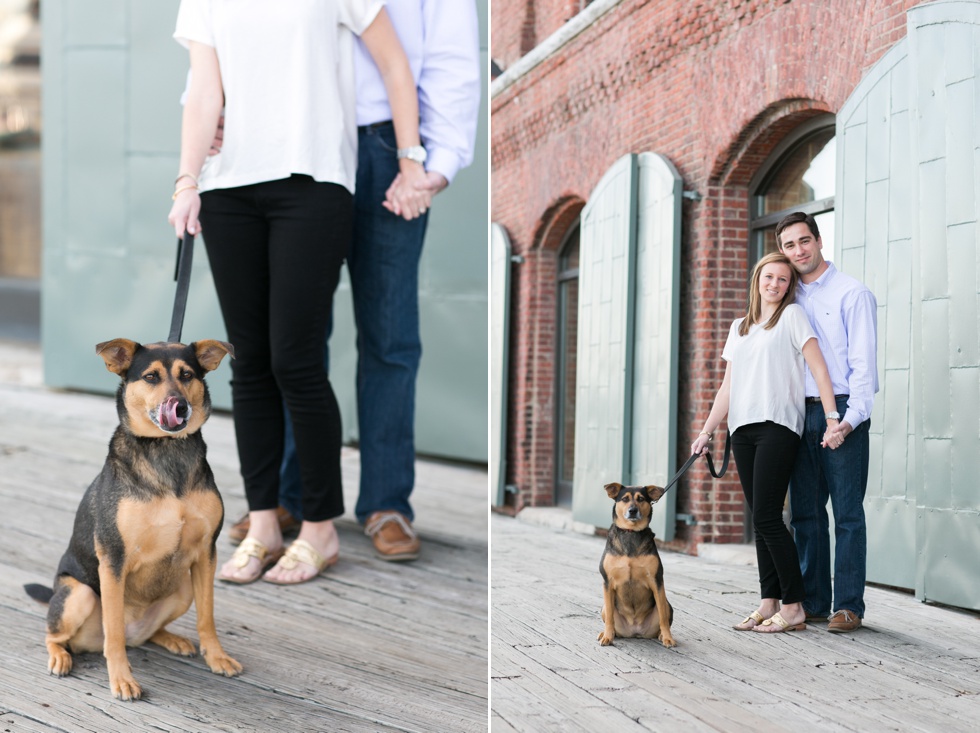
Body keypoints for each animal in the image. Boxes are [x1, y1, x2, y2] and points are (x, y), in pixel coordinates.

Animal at [24, 338, 239, 696]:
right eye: (151, 377)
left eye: (188, 375)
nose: (180, 406)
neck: (167, 450)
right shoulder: (113, 558)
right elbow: (113, 632)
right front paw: (122, 678)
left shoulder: (207, 552)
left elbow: (207, 616)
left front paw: (217, 657)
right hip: (79, 594)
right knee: (56, 635)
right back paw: (59, 657)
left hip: (183, 588)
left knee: (147, 635)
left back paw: (171, 638)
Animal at [596, 484, 672, 648]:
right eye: (625, 499)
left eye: (641, 499)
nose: (632, 510)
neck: (631, 531)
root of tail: (635, 631)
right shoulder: (607, 582)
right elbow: (610, 617)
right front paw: (607, 636)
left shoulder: (657, 581)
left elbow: (663, 616)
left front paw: (668, 638)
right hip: (604, 606)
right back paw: (606, 633)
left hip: (667, 603)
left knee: (663, 614)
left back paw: (662, 635)